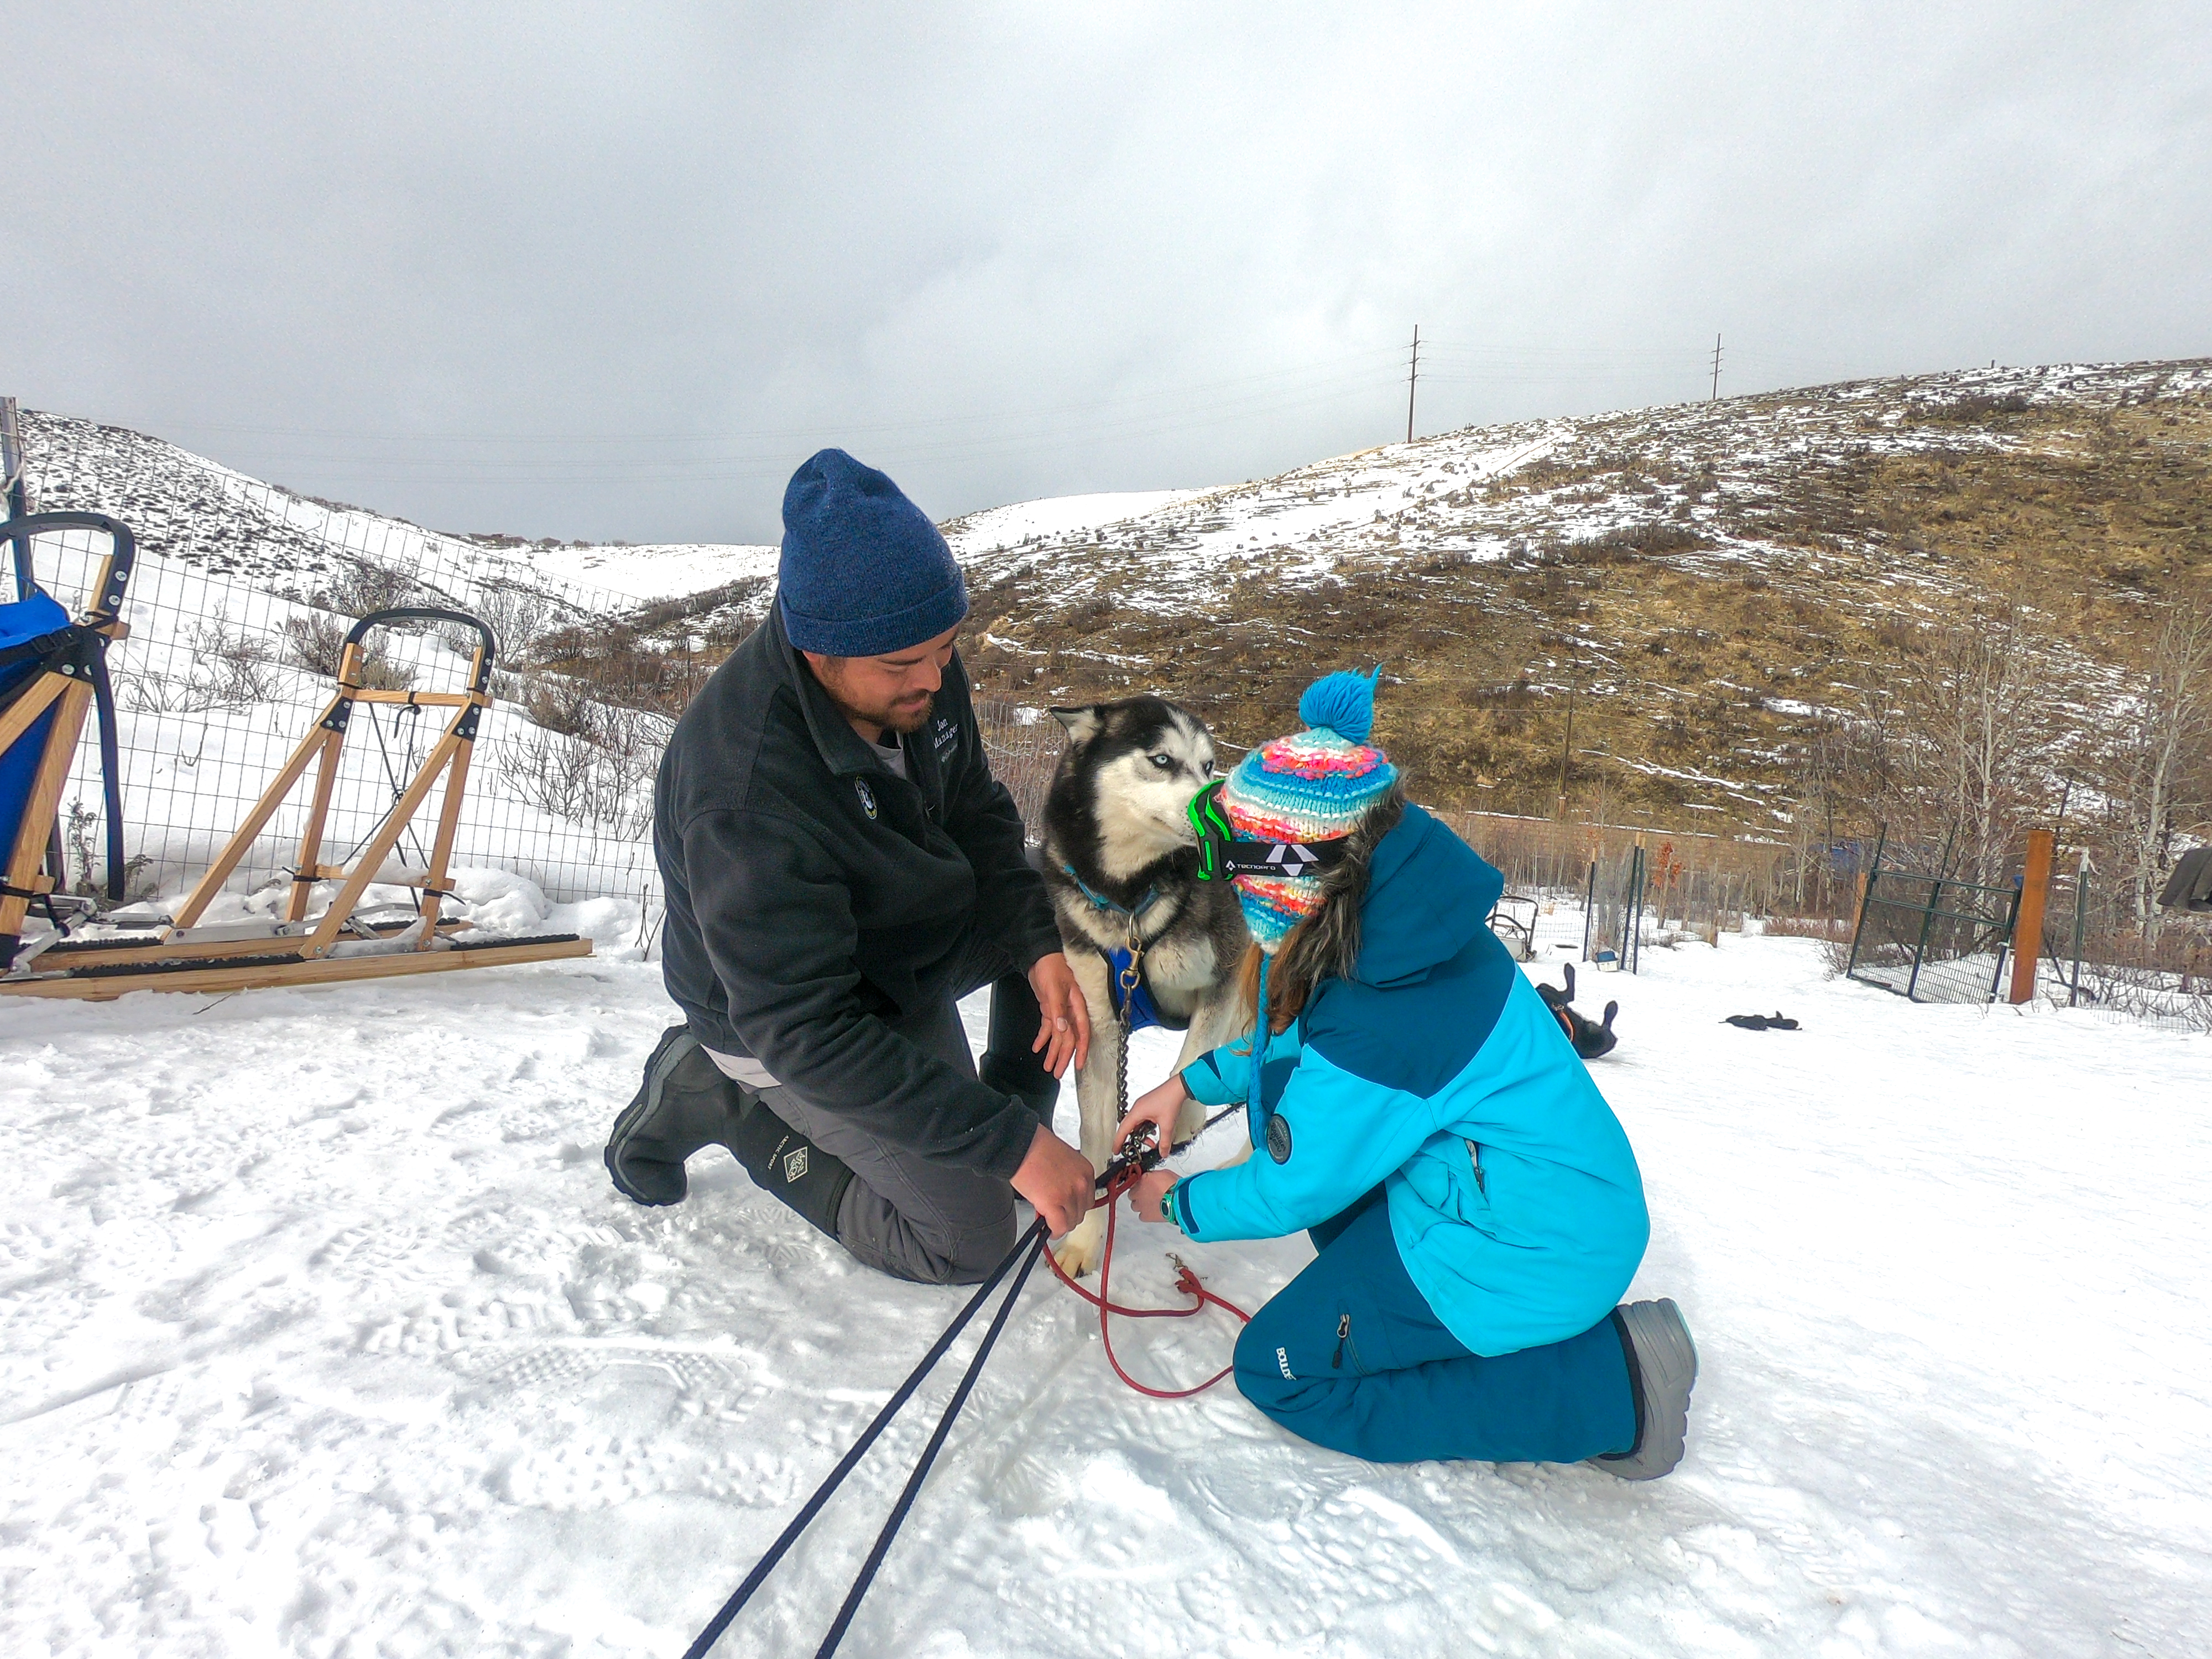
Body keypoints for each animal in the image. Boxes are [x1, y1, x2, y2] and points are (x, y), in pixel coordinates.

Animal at [1044, 695, 1256, 1283]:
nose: (1225, 818)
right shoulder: (1098, 1023)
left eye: (1209, 766)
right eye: (1163, 760)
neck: (1132, 898)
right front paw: (1085, 1240)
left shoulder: (1228, 972)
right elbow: (1096, 1143)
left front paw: (1181, 1116)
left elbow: (1189, 1060)